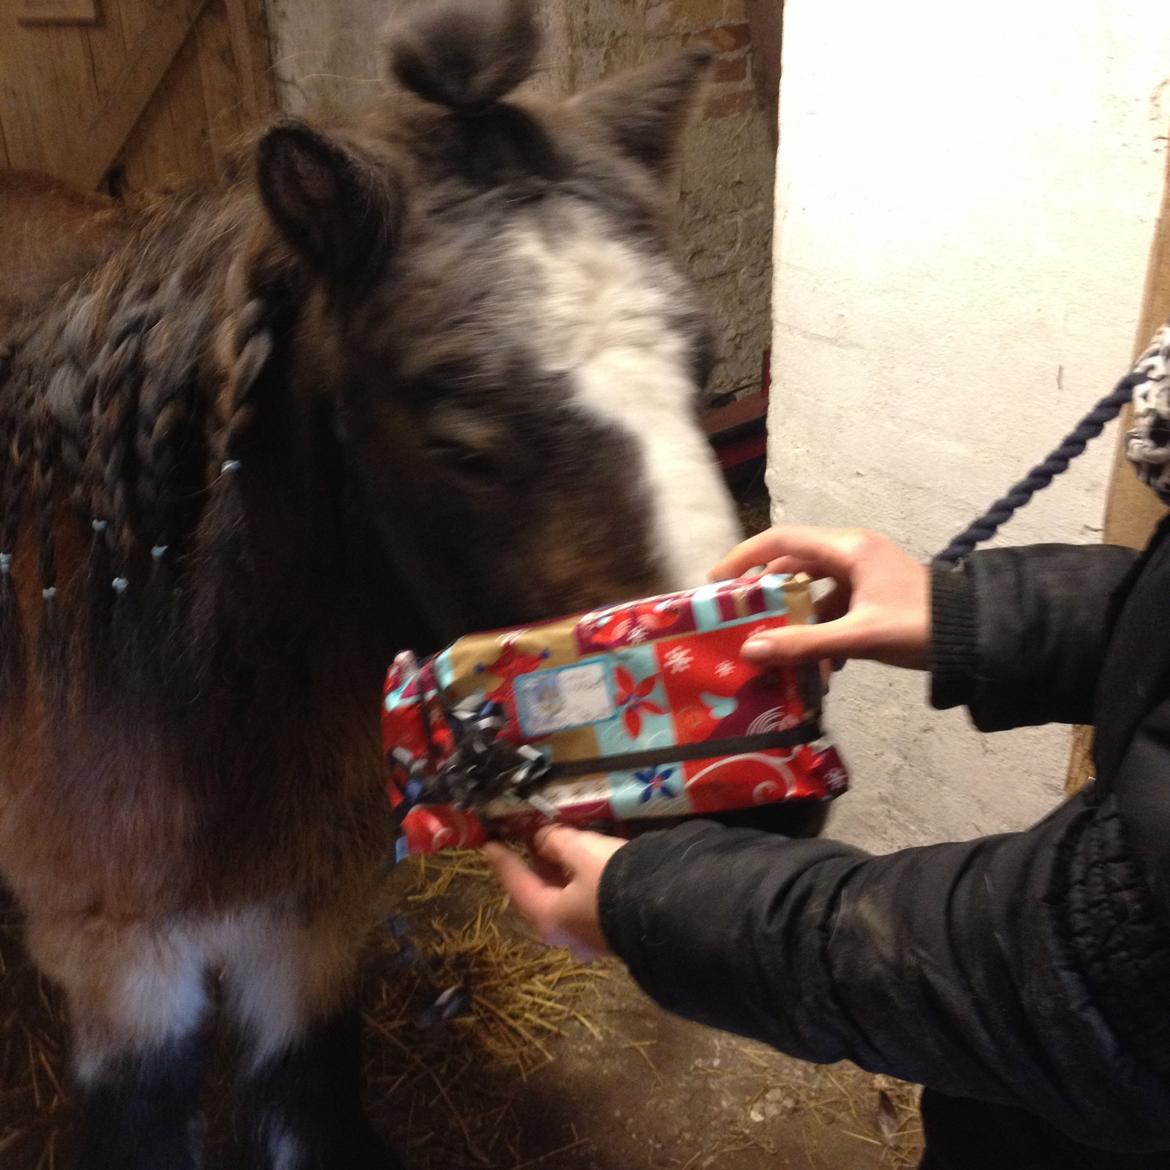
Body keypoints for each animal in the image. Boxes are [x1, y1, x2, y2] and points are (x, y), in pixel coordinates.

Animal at [0, 1, 741, 1166]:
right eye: (462, 445)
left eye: (701, 376)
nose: (747, 795)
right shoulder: (121, 962)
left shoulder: (318, 913)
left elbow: (309, 1098)